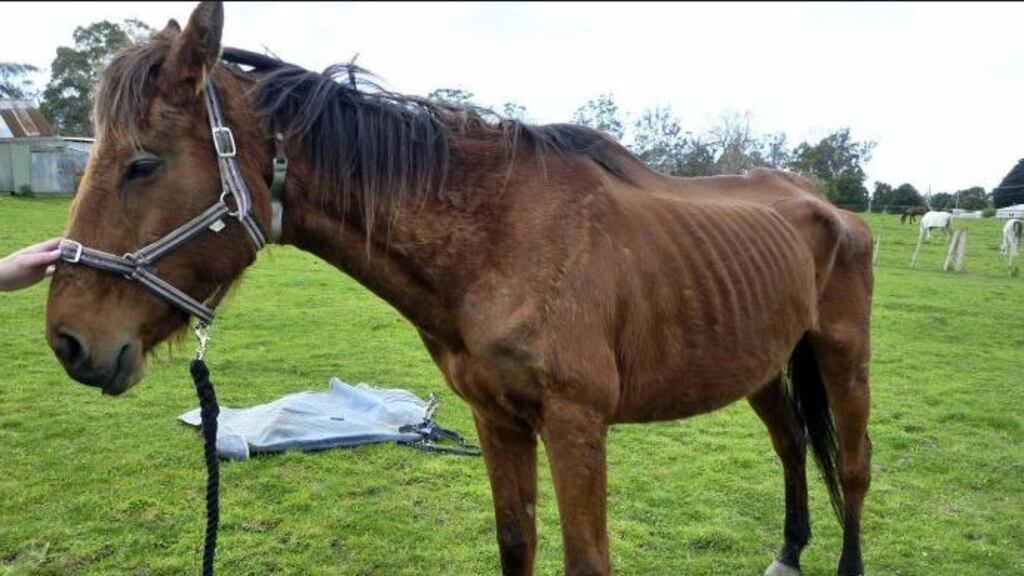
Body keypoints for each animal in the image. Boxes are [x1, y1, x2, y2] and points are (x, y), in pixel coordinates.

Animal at [44, 3, 874, 575]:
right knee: (793, 446)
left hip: (843, 357)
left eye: (142, 163)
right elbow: (515, 543)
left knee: (853, 468)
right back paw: (788, 553)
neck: (501, 241)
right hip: (761, 365)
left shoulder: (576, 426)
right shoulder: (495, 419)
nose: (69, 340)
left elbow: (586, 560)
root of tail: (826, 204)